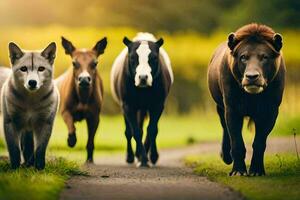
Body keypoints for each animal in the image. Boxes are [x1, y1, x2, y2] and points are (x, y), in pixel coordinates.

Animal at [111, 33, 173, 167]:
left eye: (154, 58)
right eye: (132, 57)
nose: (143, 77)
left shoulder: (158, 104)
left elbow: (152, 130)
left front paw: (148, 157)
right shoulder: (127, 105)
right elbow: (135, 131)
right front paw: (142, 159)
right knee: (129, 131)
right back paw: (130, 156)